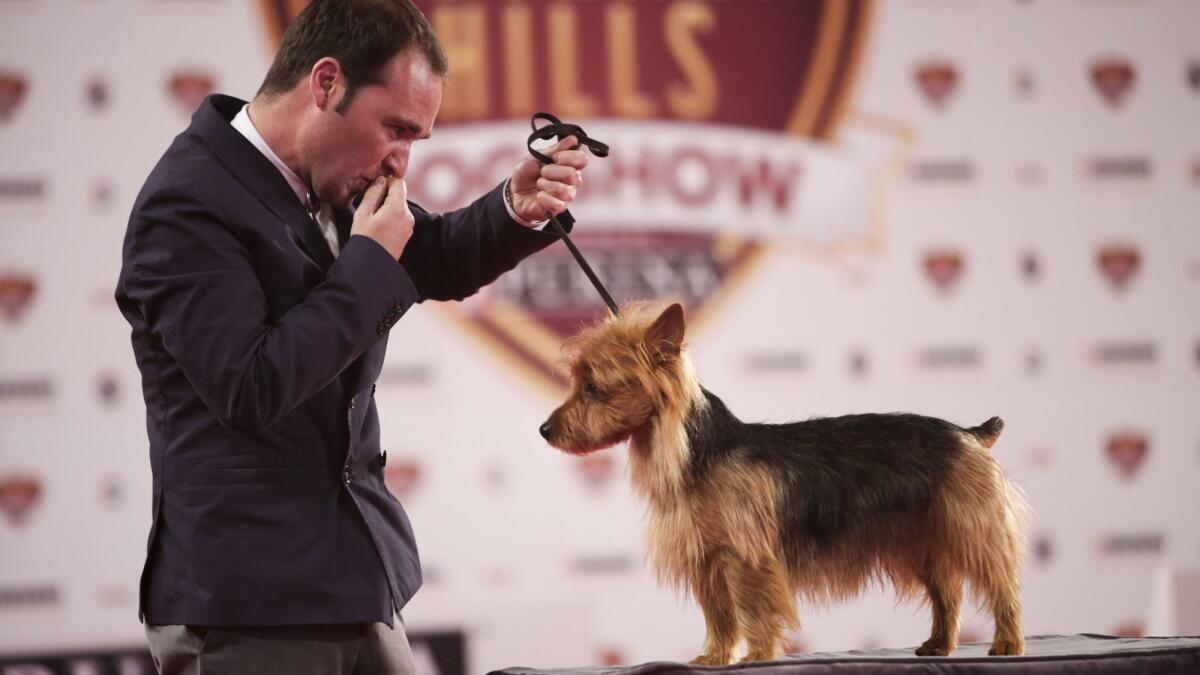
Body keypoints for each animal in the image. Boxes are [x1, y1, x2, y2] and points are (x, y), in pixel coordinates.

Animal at [540, 303, 1027, 662]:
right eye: (579, 382)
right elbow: (719, 616)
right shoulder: (709, 560)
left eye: (592, 387)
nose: (545, 430)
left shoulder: (746, 556)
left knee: (1001, 584)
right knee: (948, 594)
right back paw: (939, 644)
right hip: (924, 538)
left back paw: (1007, 642)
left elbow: (753, 609)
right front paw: (715, 657)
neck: (696, 452)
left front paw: (757, 656)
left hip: (973, 527)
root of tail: (968, 433)